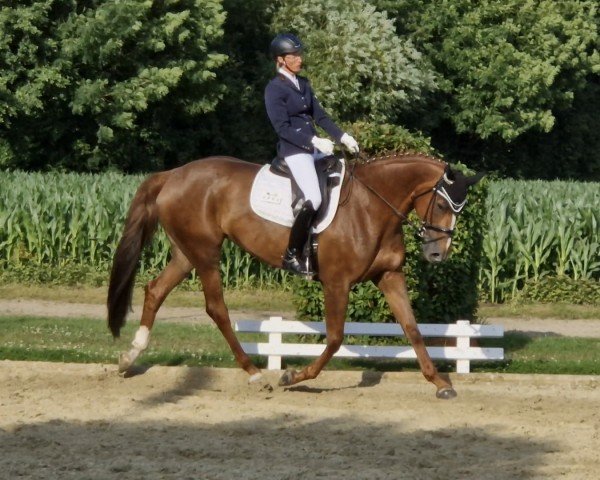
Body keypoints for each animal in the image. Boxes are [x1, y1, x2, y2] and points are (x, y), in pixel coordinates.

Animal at [106, 153, 482, 398]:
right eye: (443, 205)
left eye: (460, 209)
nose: (437, 254)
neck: (372, 207)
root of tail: (173, 174)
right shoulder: (336, 282)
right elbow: (335, 338)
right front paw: (294, 376)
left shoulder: (389, 276)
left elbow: (413, 329)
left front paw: (440, 383)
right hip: (206, 254)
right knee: (217, 309)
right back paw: (256, 375)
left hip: (187, 254)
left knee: (155, 290)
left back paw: (129, 358)